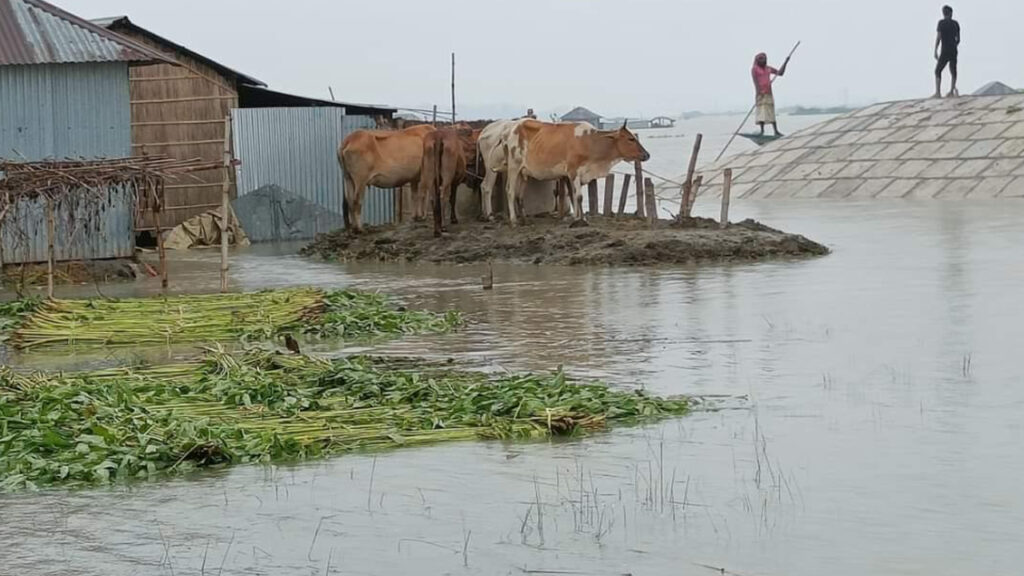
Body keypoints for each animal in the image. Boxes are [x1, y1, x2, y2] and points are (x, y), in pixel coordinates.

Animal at [507, 119, 651, 225]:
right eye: (631, 139)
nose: (647, 154)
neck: (589, 142)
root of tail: (515, 126)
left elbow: (574, 195)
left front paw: (578, 218)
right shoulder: (573, 171)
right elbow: (579, 196)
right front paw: (581, 221)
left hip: (523, 173)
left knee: (519, 195)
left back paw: (525, 219)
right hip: (513, 167)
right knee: (510, 191)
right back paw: (514, 220)